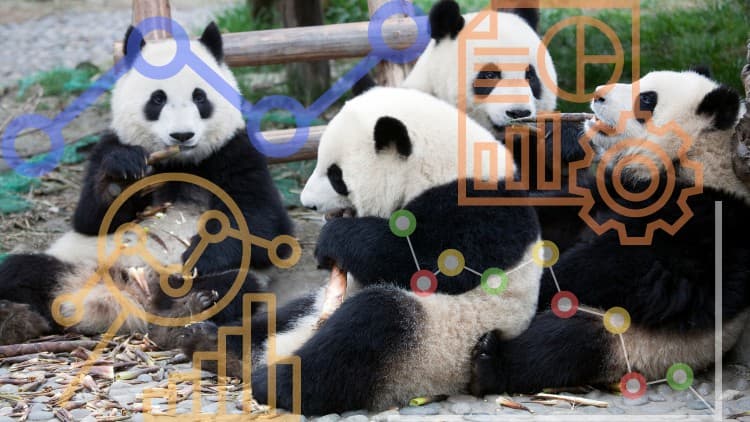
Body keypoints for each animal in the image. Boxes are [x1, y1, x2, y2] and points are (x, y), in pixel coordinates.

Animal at [0, 22, 293, 346]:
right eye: (158, 99)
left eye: (200, 97)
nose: (182, 135)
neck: (179, 162)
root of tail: (116, 302)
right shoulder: (107, 146)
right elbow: (89, 219)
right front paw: (120, 178)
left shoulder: (235, 152)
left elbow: (264, 225)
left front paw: (199, 254)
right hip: (74, 261)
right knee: (18, 270)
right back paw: (16, 319)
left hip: (203, 279)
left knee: (233, 286)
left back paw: (185, 307)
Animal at [179, 86, 544, 414]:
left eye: (335, 175)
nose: (308, 204)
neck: (445, 164)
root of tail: (289, 344)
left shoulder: (478, 206)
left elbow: (431, 262)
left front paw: (334, 239)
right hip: (317, 307)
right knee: (278, 317)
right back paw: (211, 343)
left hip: (439, 345)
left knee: (368, 327)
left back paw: (275, 381)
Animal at [468, 70, 750, 395]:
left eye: (647, 100)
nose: (598, 94)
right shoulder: (611, 188)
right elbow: (558, 212)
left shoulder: (705, 220)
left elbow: (630, 272)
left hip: (635, 344)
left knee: (565, 342)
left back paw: (488, 363)